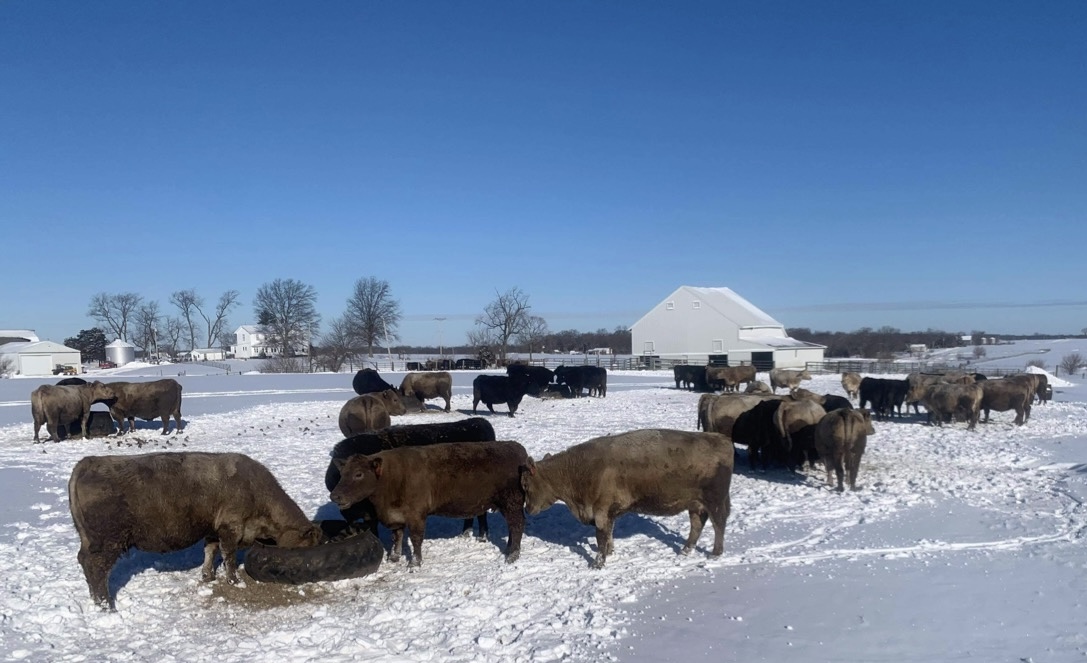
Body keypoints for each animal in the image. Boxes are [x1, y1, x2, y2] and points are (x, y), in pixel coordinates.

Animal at [68, 452, 322, 609]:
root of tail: (89, 462)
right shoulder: (231, 528)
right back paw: (106, 605)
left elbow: (210, 551)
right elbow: (229, 556)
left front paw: (208, 576)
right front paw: (234, 580)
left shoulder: (212, 529)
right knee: (97, 569)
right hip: (107, 542)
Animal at [324, 418, 498, 537]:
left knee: (481, 513)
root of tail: (479, 422)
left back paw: (482, 536)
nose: (337, 497)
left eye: (358, 474)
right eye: (342, 475)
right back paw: (466, 533)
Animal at [330, 441, 529, 566]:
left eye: (359, 474)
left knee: (517, 525)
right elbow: (397, 537)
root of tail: (516, 448)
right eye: (342, 473)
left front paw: (415, 563)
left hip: (511, 502)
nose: (335, 496)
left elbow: (416, 539)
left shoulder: (416, 515)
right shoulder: (396, 517)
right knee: (513, 527)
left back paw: (512, 555)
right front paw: (394, 557)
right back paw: (508, 549)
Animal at [520, 428, 733, 568]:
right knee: (697, 524)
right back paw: (685, 550)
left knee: (718, 524)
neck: (577, 470)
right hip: (695, 504)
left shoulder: (601, 513)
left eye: (525, 485)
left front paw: (597, 563)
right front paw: (610, 552)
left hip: (714, 501)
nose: (527, 509)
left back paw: (715, 553)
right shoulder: (609, 514)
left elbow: (601, 538)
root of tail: (721, 439)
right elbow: (608, 535)